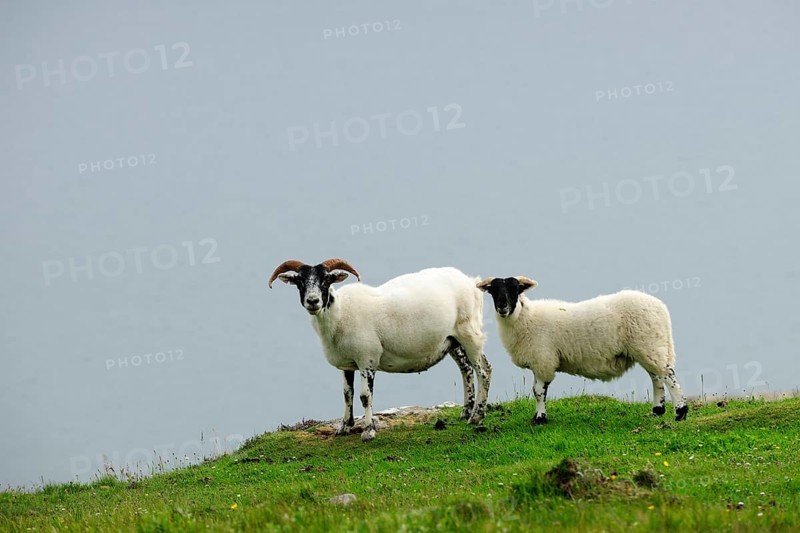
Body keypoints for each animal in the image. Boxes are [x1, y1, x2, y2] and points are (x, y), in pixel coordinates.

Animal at [269, 259, 492, 441]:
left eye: (326, 280)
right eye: (300, 281)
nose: (313, 301)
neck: (340, 313)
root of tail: (472, 282)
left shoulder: (367, 359)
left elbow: (365, 396)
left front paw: (368, 431)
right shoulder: (348, 364)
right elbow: (347, 394)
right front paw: (344, 427)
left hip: (469, 332)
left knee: (483, 370)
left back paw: (477, 416)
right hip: (451, 339)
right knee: (466, 370)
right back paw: (466, 412)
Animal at [477, 276, 688, 424]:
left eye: (515, 289)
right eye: (493, 291)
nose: (502, 306)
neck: (525, 318)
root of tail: (659, 307)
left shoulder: (543, 360)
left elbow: (538, 391)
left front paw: (540, 418)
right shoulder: (539, 362)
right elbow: (537, 390)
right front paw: (538, 416)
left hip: (649, 344)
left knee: (668, 376)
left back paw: (680, 412)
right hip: (649, 347)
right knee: (656, 377)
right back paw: (657, 411)